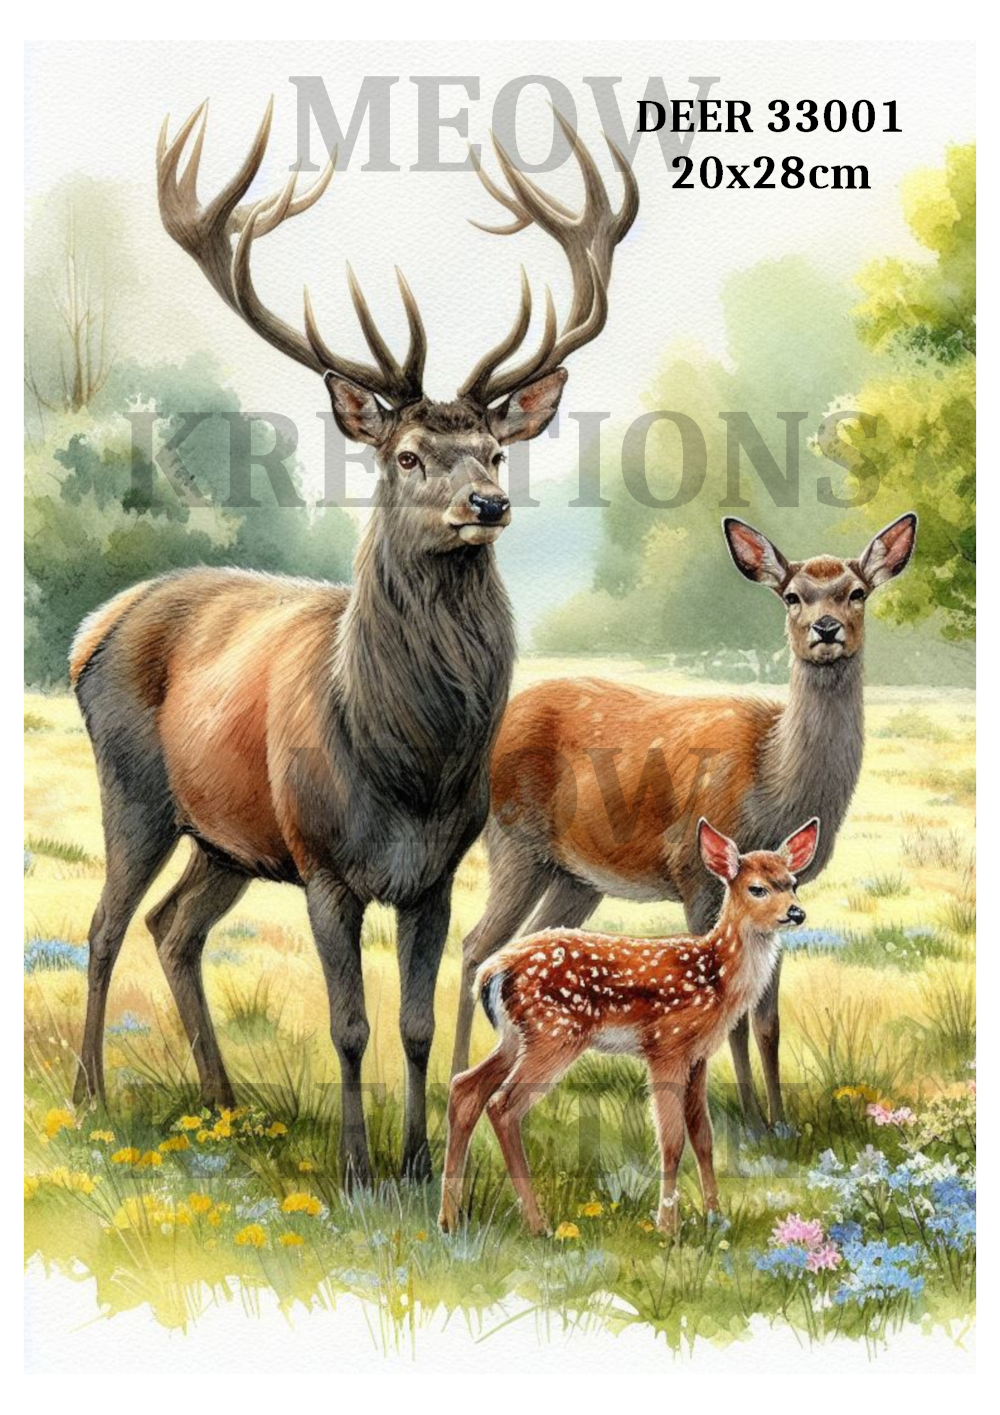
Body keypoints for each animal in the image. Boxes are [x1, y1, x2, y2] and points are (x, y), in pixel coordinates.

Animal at [68, 101, 638, 1184]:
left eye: (495, 450)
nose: (487, 504)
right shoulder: (326, 863)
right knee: (106, 922)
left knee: (174, 927)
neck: (406, 764)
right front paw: (355, 1169)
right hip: (137, 787)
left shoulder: (434, 873)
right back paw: (88, 1097)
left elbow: (412, 1022)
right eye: (408, 454)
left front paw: (416, 1164)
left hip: (230, 836)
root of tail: (92, 628)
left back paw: (224, 1099)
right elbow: (349, 1024)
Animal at [440, 817, 819, 1235]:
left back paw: (450, 1219)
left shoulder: (698, 1055)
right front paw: (668, 1226)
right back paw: (538, 1225)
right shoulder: (666, 1047)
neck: (716, 975)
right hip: (554, 1034)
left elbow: (703, 1136)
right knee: (503, 1106)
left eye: (792, 883)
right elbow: (671, 1140)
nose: (797, 913)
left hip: (516, 1038)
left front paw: (715, 1217)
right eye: (757, 888)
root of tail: (493, 971)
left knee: (465, 1088)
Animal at [450, 513, 917, 1130]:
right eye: (792, 595)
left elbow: (767, 1018)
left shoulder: (784, 896)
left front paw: (780, 1121)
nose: (825, 628)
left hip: (575, 877)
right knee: (473, 946)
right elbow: (732, 1012)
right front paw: (748, 1120)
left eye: (857, 592)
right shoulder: (698, 878)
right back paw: (445, 1078)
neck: (772, 784)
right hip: (513, 841)